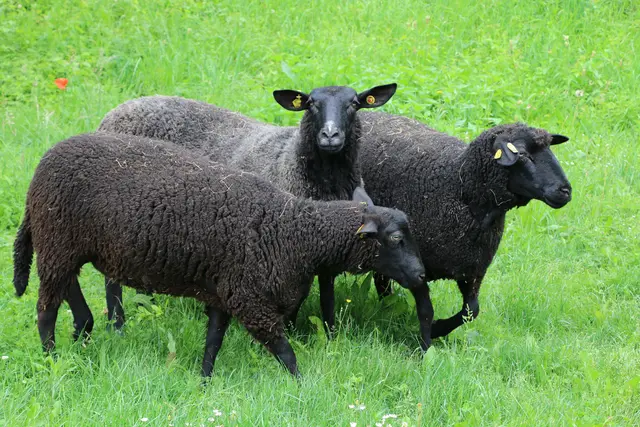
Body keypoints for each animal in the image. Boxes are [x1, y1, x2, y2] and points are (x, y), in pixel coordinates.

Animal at [13, 133, 425, 377]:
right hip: (56, 241)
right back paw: (51, 360)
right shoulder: (249, 298)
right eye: (395, 238)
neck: (293, 231)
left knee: (69, 292)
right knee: (45, 311)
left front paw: (204, 383)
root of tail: (41, 166)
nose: (421, 275)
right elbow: (285, 352)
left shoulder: (223, 292)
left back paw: (81, 336)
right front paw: (303, 386)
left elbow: (213, 342)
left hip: (65, 247)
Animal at [98, 84, 398, 332]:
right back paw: (118, 324)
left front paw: (330, 334)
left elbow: (327, 295)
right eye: (311, 103)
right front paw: (290, 331)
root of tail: (114, 113)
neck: (290, 160)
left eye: (354, 104)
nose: (330, 135)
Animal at [355, 111, 572, 345]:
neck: (459, 187)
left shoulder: (473, 269)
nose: (566, 191)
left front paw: (439, 328)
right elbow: (426, 311)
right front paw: (427, 343)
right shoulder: (415, 266)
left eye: (550, 149)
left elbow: (471, 311)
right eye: (521, 154)